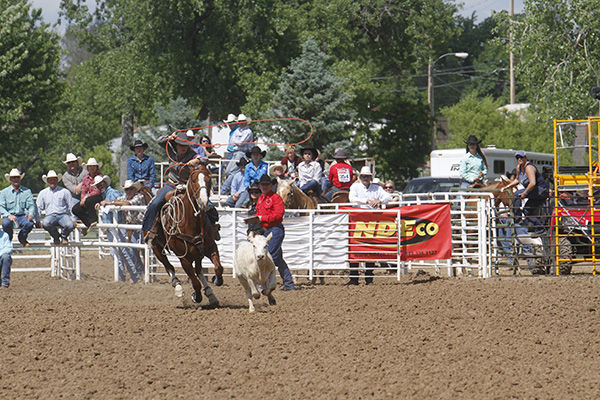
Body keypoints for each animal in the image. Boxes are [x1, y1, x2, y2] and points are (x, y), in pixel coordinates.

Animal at [151, 164, 224, 304]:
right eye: (194, 180)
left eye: (208, 180)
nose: (203, 202)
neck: (191, 222)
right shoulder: (183, 258)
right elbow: (195, 282)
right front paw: (196, 296)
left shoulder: (211, 247)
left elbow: (218, 268)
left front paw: (217, 280)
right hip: (156, 248)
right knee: (169, 266)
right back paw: (178, 287)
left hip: (198, 253)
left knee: (199, 270)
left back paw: (210, 293)